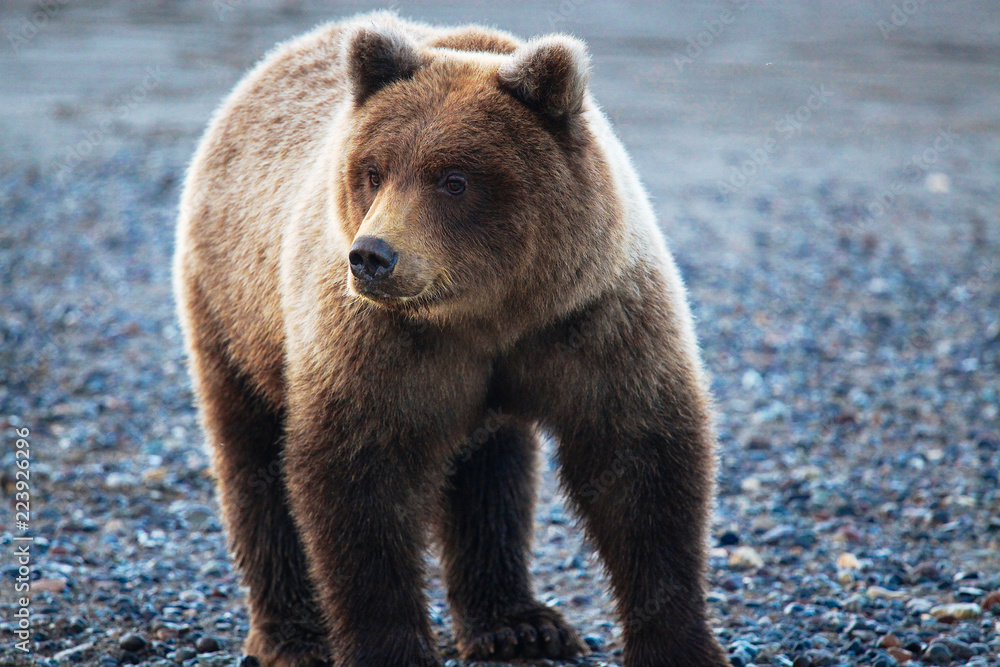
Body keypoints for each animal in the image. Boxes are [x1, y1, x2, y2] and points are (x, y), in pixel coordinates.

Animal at [173, 11, 728, 667]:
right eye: (373, 171)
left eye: (454, 179)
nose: (372, 256)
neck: (487, 314)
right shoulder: (376, 344)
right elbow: (360, 481)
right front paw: (390, 646)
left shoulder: (593, 320)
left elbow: (639, 465)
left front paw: (679, 643)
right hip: (234, 314)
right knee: (252, 459)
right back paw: (295, 637)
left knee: (491, 475)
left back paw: (518, 624)